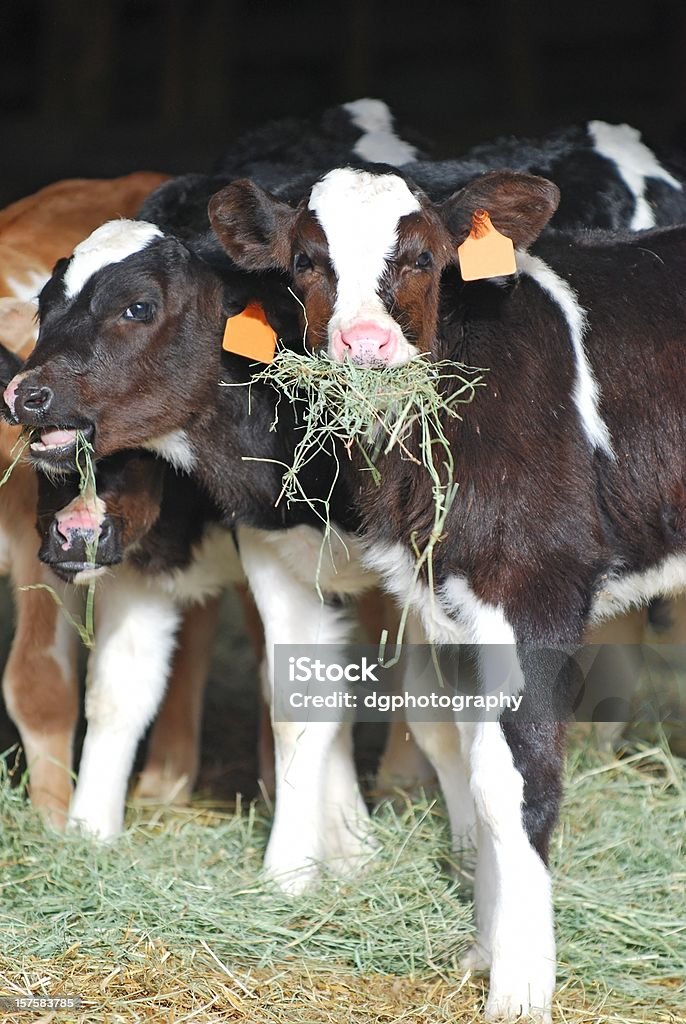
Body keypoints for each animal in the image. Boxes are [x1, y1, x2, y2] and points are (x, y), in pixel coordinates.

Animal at [204, 163, 686, 1019]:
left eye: (423, 258)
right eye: (306, 261)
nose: (364, 343)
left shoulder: (533, 588)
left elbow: (513, 781)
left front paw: (520, 986)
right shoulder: (449, 603)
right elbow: (466, 755)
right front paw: (483, 950)